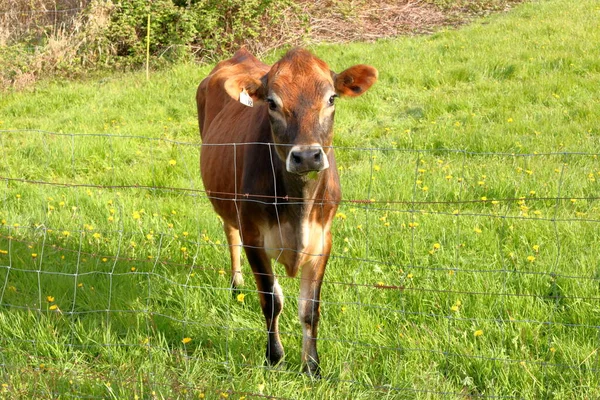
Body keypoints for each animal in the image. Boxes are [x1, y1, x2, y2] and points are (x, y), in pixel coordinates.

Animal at [196, 47, 376, 376]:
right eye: (272, 103)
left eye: (332, 98)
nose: (306, 156)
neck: (298, 208)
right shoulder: (254, 237)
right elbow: (271, 300)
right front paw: (274, 357)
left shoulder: (323, 239)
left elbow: (310, 308)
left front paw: (312, 366)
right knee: (230, 232)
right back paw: (236, 283)